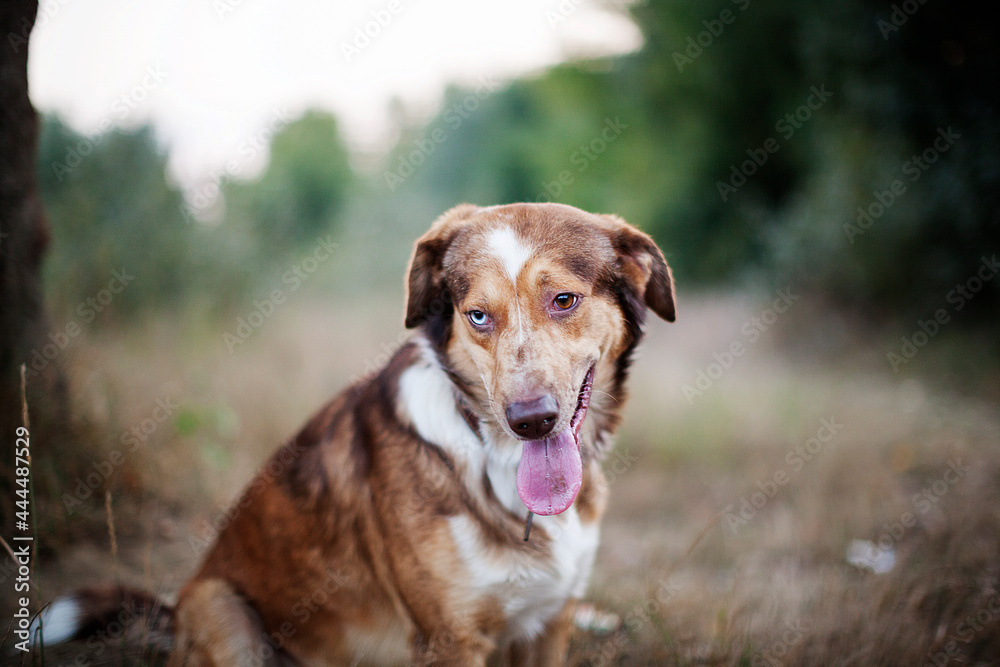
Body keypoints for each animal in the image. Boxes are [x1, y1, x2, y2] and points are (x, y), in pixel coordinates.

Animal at [33, 204, 672, 667]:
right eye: (478, 316)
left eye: (564, 299)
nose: (530, 419)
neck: (495, 461)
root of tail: (172, 618)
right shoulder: (449, 639)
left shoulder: (549, 623)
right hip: (222, 611)